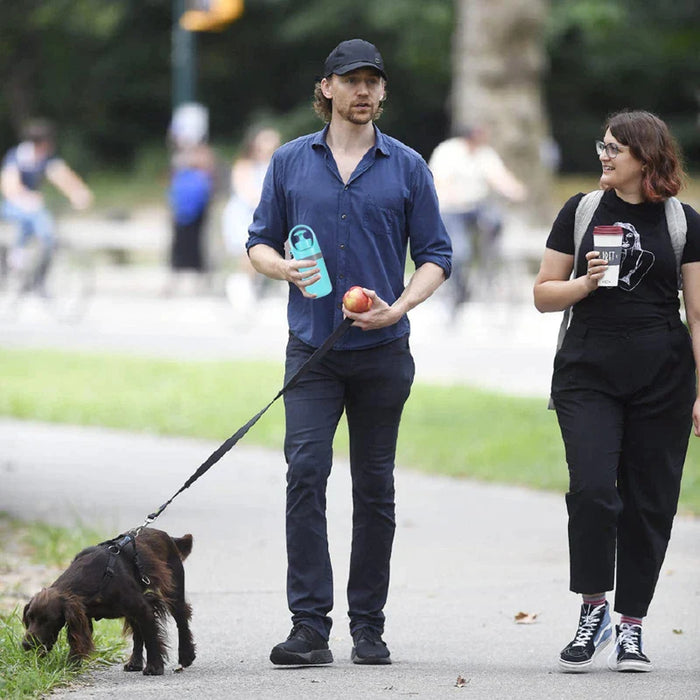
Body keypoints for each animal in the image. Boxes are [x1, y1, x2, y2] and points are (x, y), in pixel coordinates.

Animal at [21, 532, 196, 672]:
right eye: (29, 618)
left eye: (48, 620)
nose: (26, 645)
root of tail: (170, 537)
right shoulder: (83, 615)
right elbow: (77, 640)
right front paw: (71, 666)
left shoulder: (144, 608)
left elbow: (151, 638)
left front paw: (154, 667)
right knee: (138, 633)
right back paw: (134, 663)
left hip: (173, 591)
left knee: (182, 619)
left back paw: (186, 656)